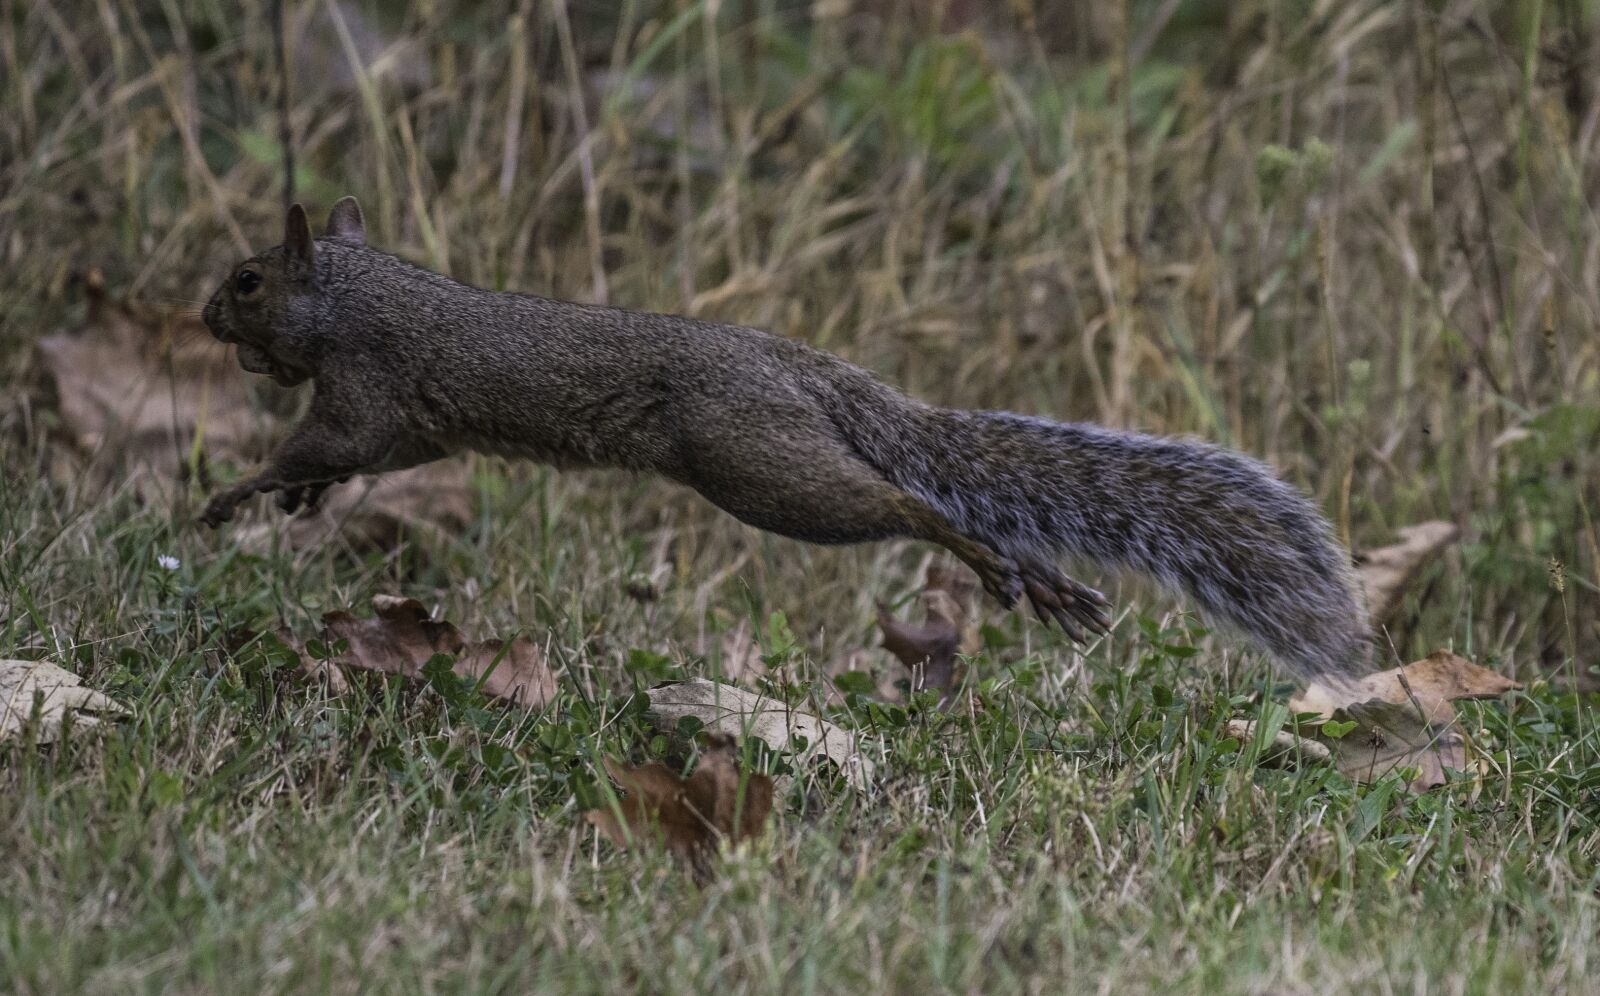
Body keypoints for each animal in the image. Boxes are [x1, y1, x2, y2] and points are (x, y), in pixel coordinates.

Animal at [198, 198, 1370, 682]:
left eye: (248, 280)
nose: (204, 315)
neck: (358, 292)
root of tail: (802, 369)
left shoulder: (369, 384)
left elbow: (324, 439)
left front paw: (235, 494)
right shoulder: (412, 429)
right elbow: (362, 459)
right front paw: (296, 503)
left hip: (758, 468)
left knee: (907, 505)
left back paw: (990, 559)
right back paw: (1034, 578)